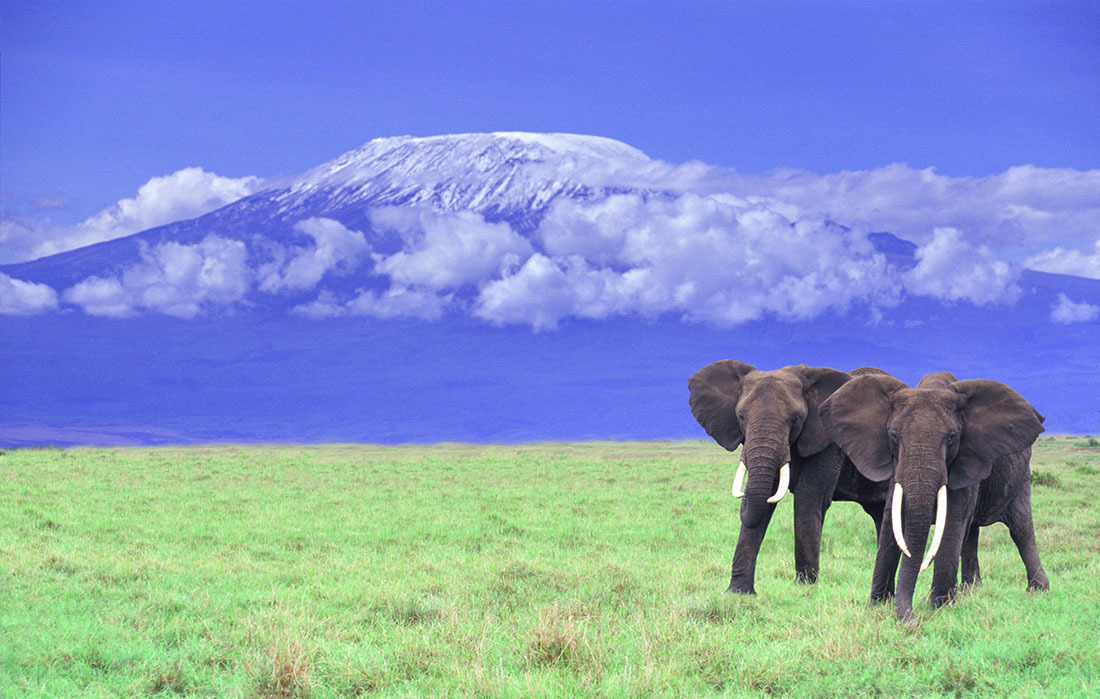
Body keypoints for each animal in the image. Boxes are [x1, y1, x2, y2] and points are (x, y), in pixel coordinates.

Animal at [686, 361, 893, 594]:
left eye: (796, 419)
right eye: (740, 416)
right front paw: (738, 593)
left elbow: (808, 498)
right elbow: (765, 499)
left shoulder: (827, 441)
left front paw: (805, 589)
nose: (741, 498)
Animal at [827, 372, 1047, 625]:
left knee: (1020, 529)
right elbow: (891, 522)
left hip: (1022, 476)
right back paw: (971, 591)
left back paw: (1038, 590)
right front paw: (877, 605)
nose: (912, 621)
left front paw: (940, 608)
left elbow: (951, 524)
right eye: (893, 436)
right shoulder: (896, 469)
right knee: (971, 533)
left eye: (951, 437)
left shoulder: (965, 462)